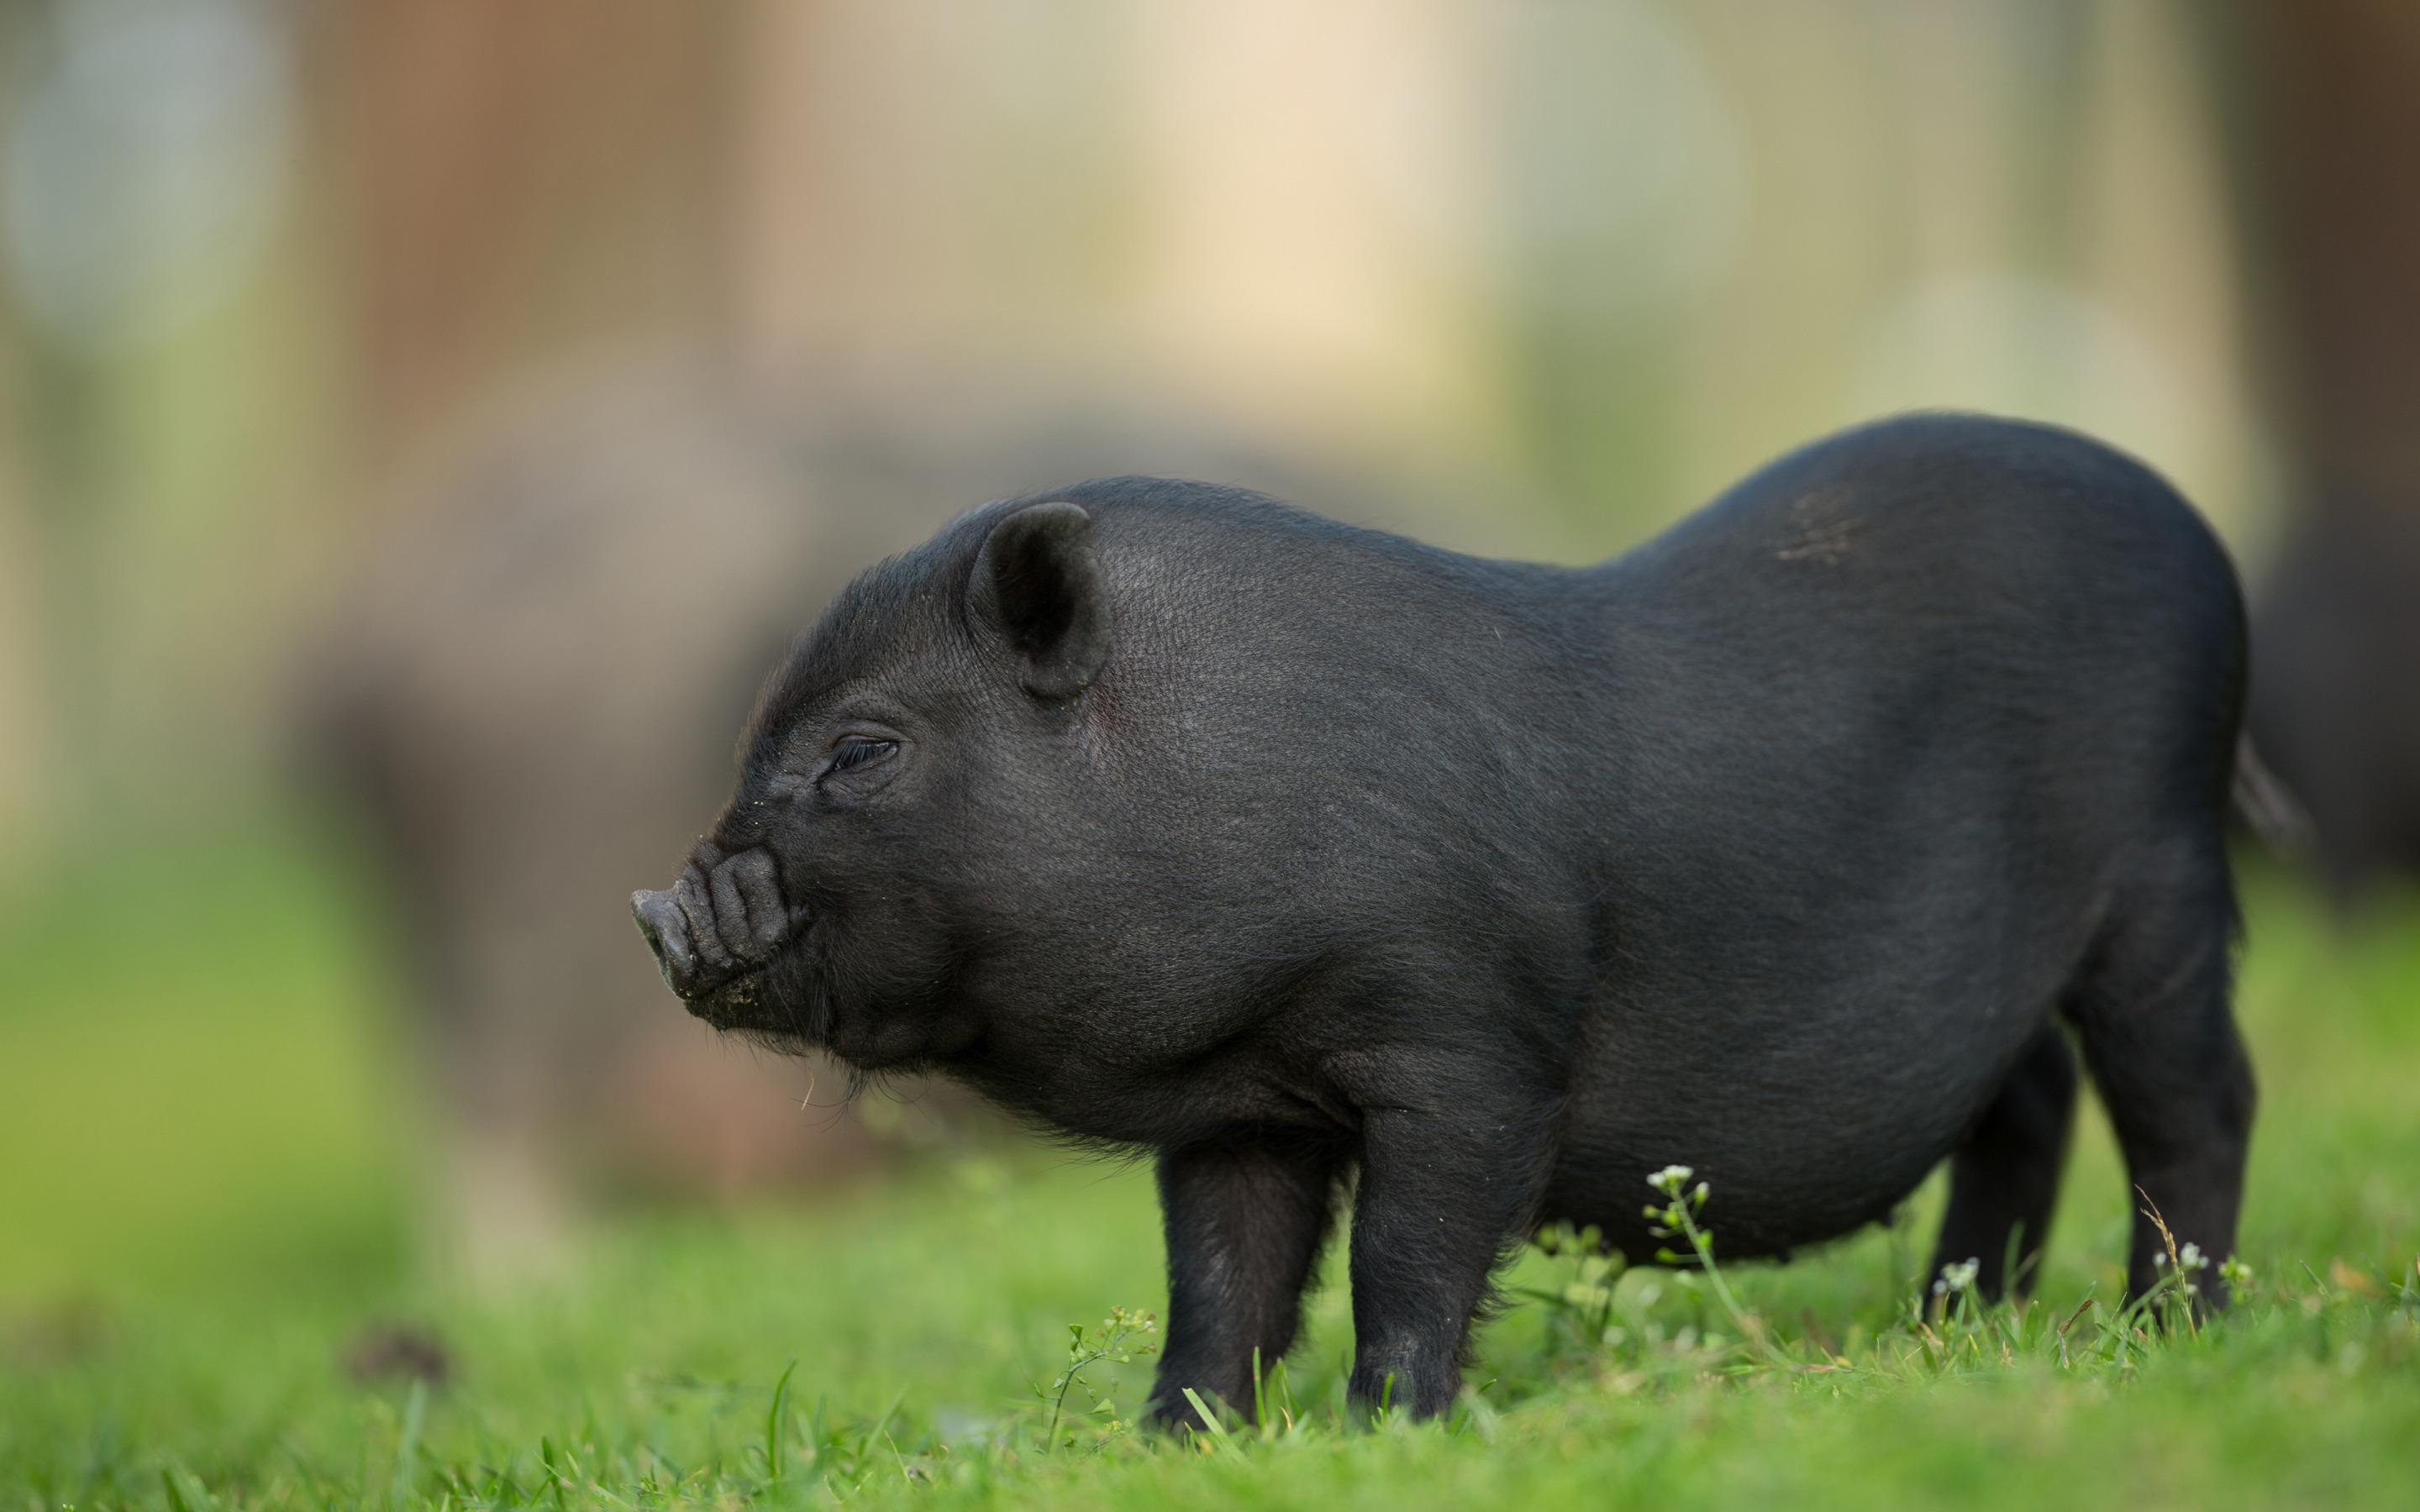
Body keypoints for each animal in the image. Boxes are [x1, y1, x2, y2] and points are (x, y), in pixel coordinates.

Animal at [634, 412, 2257, 1425]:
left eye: (862, 751)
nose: (662, 905)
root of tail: (2203, 537)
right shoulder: (1245, 1105)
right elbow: (1220, 1279)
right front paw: (1176, 1441)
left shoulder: (1466, 1035)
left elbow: (1409, 1255)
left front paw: (1387, 1431)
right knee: (2028, 1097)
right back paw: (1951, 1332)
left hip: (2165, 869)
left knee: (2196, 1094)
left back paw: (2170, 1334)